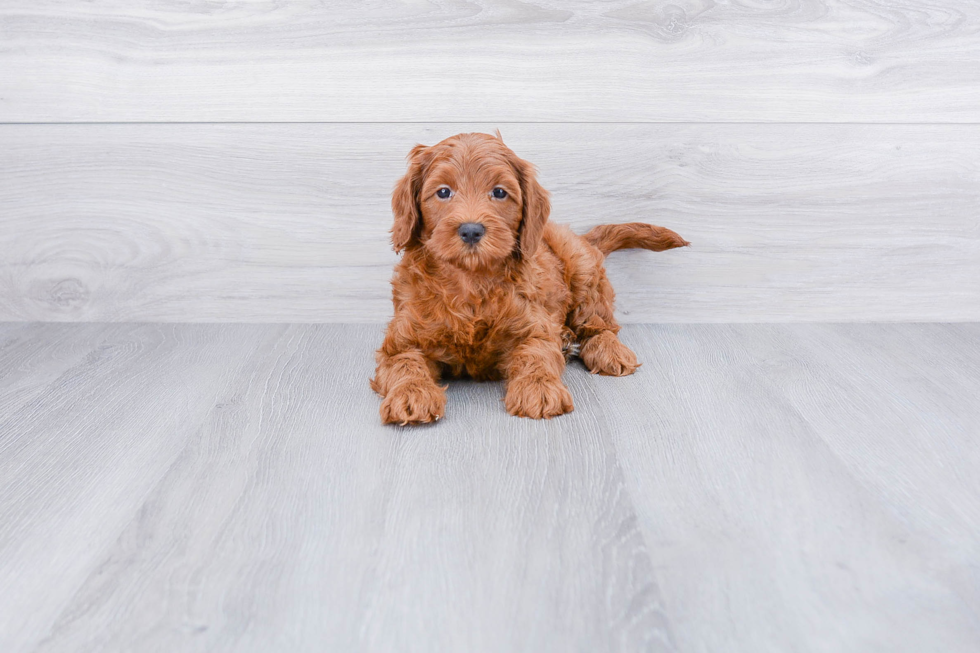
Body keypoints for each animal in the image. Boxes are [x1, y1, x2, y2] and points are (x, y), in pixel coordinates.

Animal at [372, 131, 684, 426]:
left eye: (499, 192)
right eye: (443, 192)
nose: (471, 230)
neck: (471, 281)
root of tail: (581, 237)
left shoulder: (534, 325)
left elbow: (536, 353)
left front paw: (539, 389)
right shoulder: (402, 339)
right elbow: (404, 362)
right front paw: (411, 394)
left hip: (582, 269)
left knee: (599, 324)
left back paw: (608, 350)